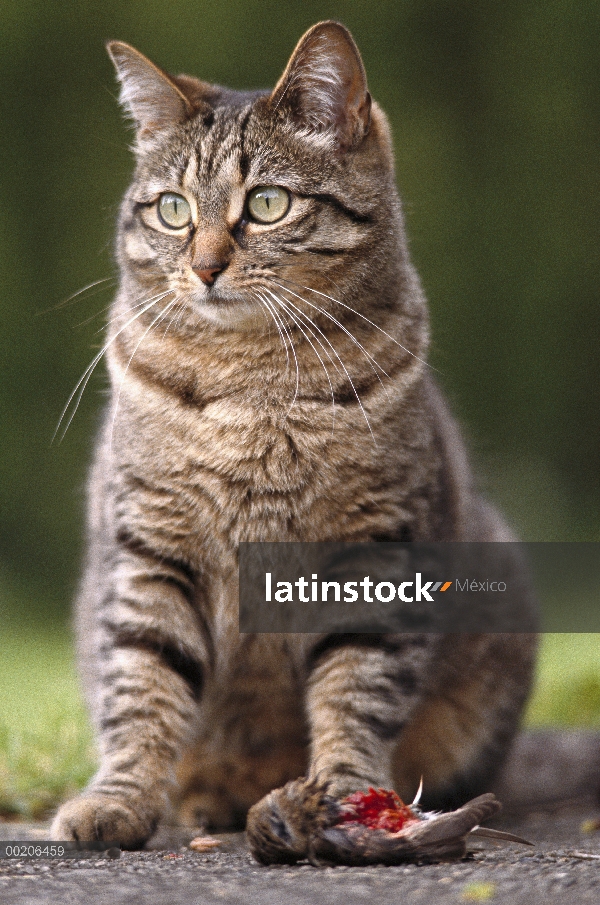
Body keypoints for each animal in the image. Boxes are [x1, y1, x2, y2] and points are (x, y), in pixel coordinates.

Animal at [52, 17, 540, 860]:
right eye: (173, 210)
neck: (250, 383)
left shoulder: (377, 548)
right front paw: (116, 799)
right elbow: (141, 683)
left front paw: (347, 793)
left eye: (268, 203)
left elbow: (356, 687)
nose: (205, 266)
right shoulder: (148, 546)